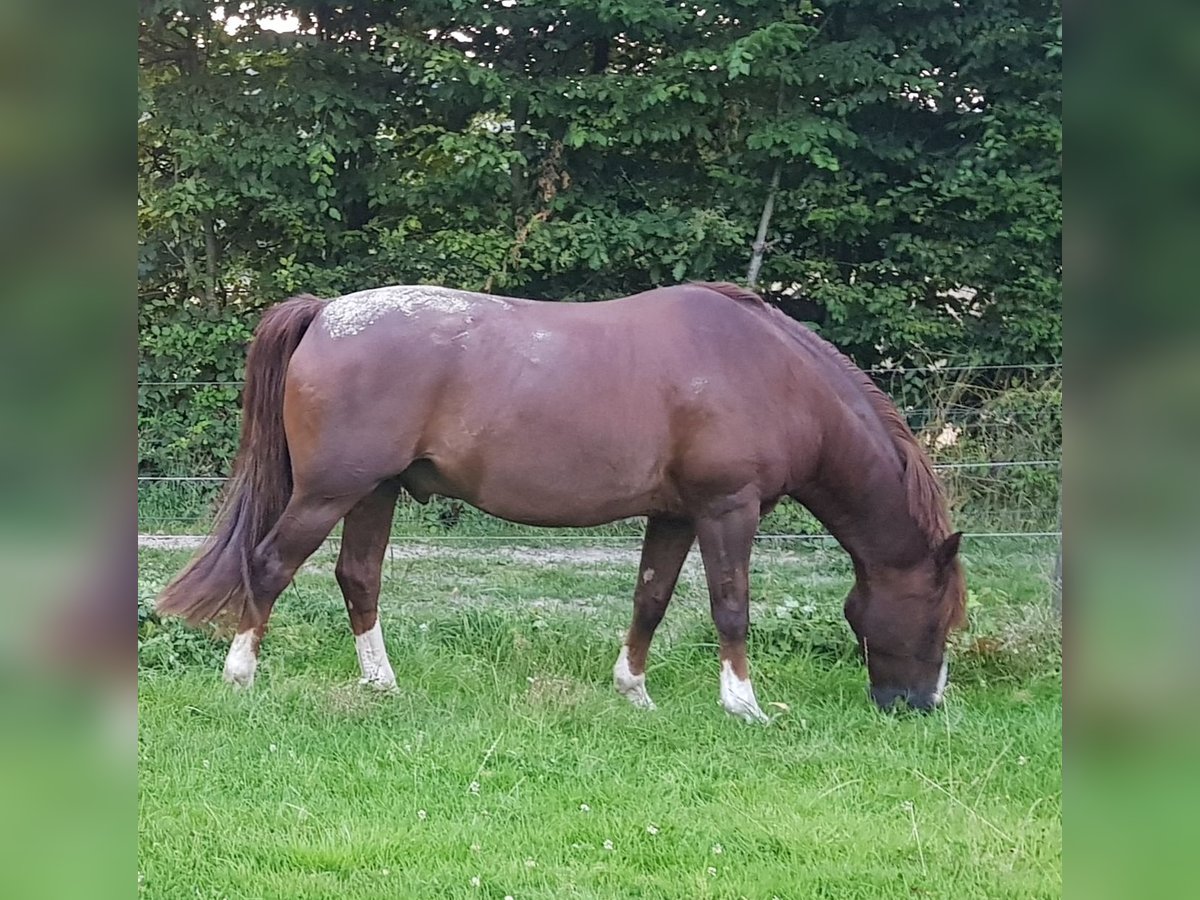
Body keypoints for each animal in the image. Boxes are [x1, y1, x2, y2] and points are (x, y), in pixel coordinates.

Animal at [157, 282, 964, 720]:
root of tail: (326, 314)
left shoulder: (675, 514)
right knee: (270, 565)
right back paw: (240, 677)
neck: (768, 373)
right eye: (940, 617)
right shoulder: (727, 509)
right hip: (331, 491)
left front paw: (634, 692)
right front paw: (743, 704)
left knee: (358, 577)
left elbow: (651, 599)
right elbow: (730, 607)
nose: (920, 707)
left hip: (374, 492)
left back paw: (381, 684)